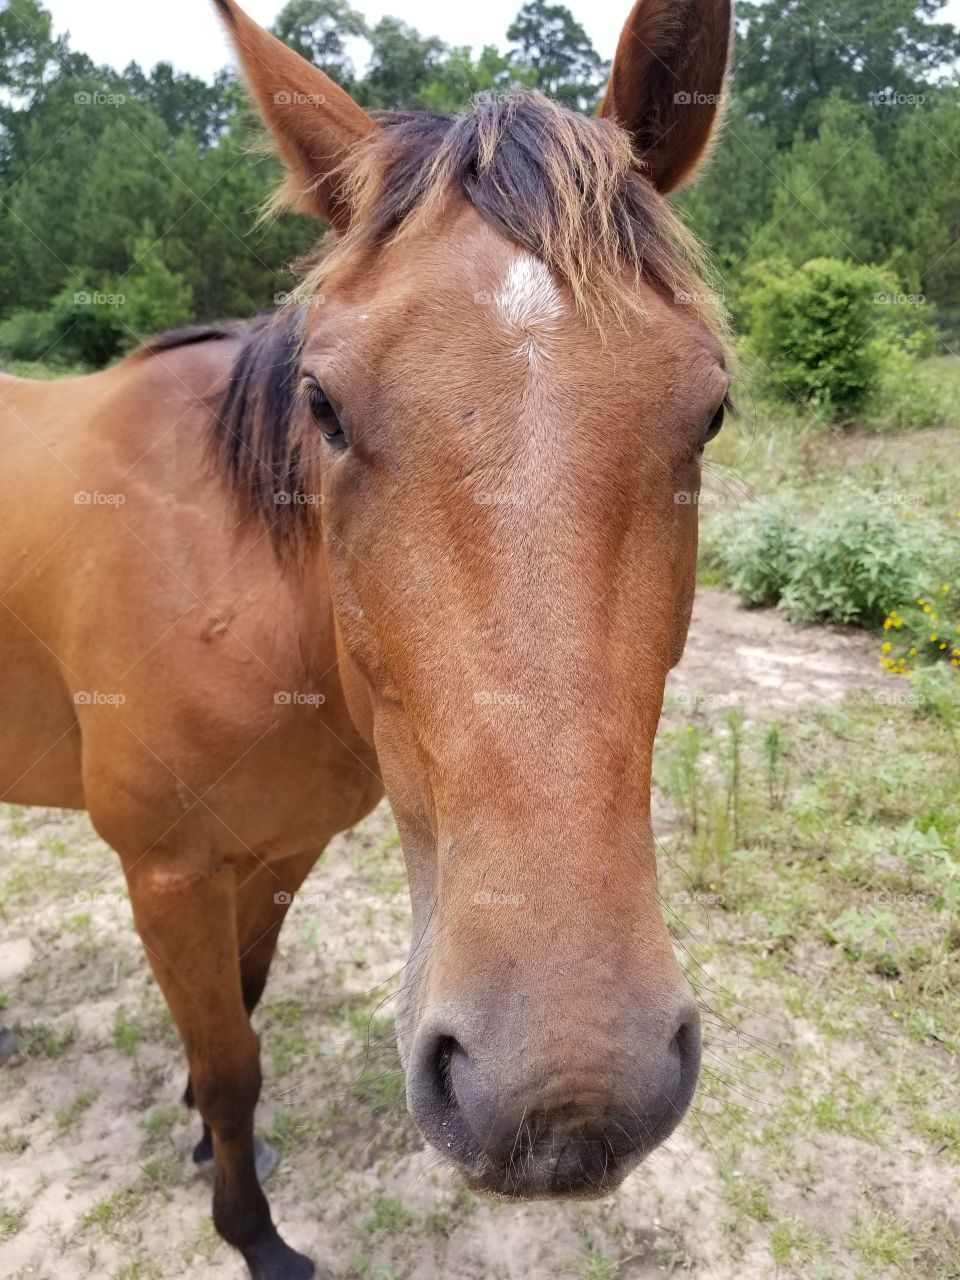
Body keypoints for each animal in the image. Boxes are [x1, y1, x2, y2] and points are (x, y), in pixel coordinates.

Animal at [0, 0, 732, 1275]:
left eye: (713, 409)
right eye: (324, 406)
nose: (566, 1092)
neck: (244, 593)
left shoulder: (278, 854)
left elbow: (238, 1017)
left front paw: (207, 1147)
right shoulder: (167, 873)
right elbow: (233, 1064)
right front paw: (253, 1229)